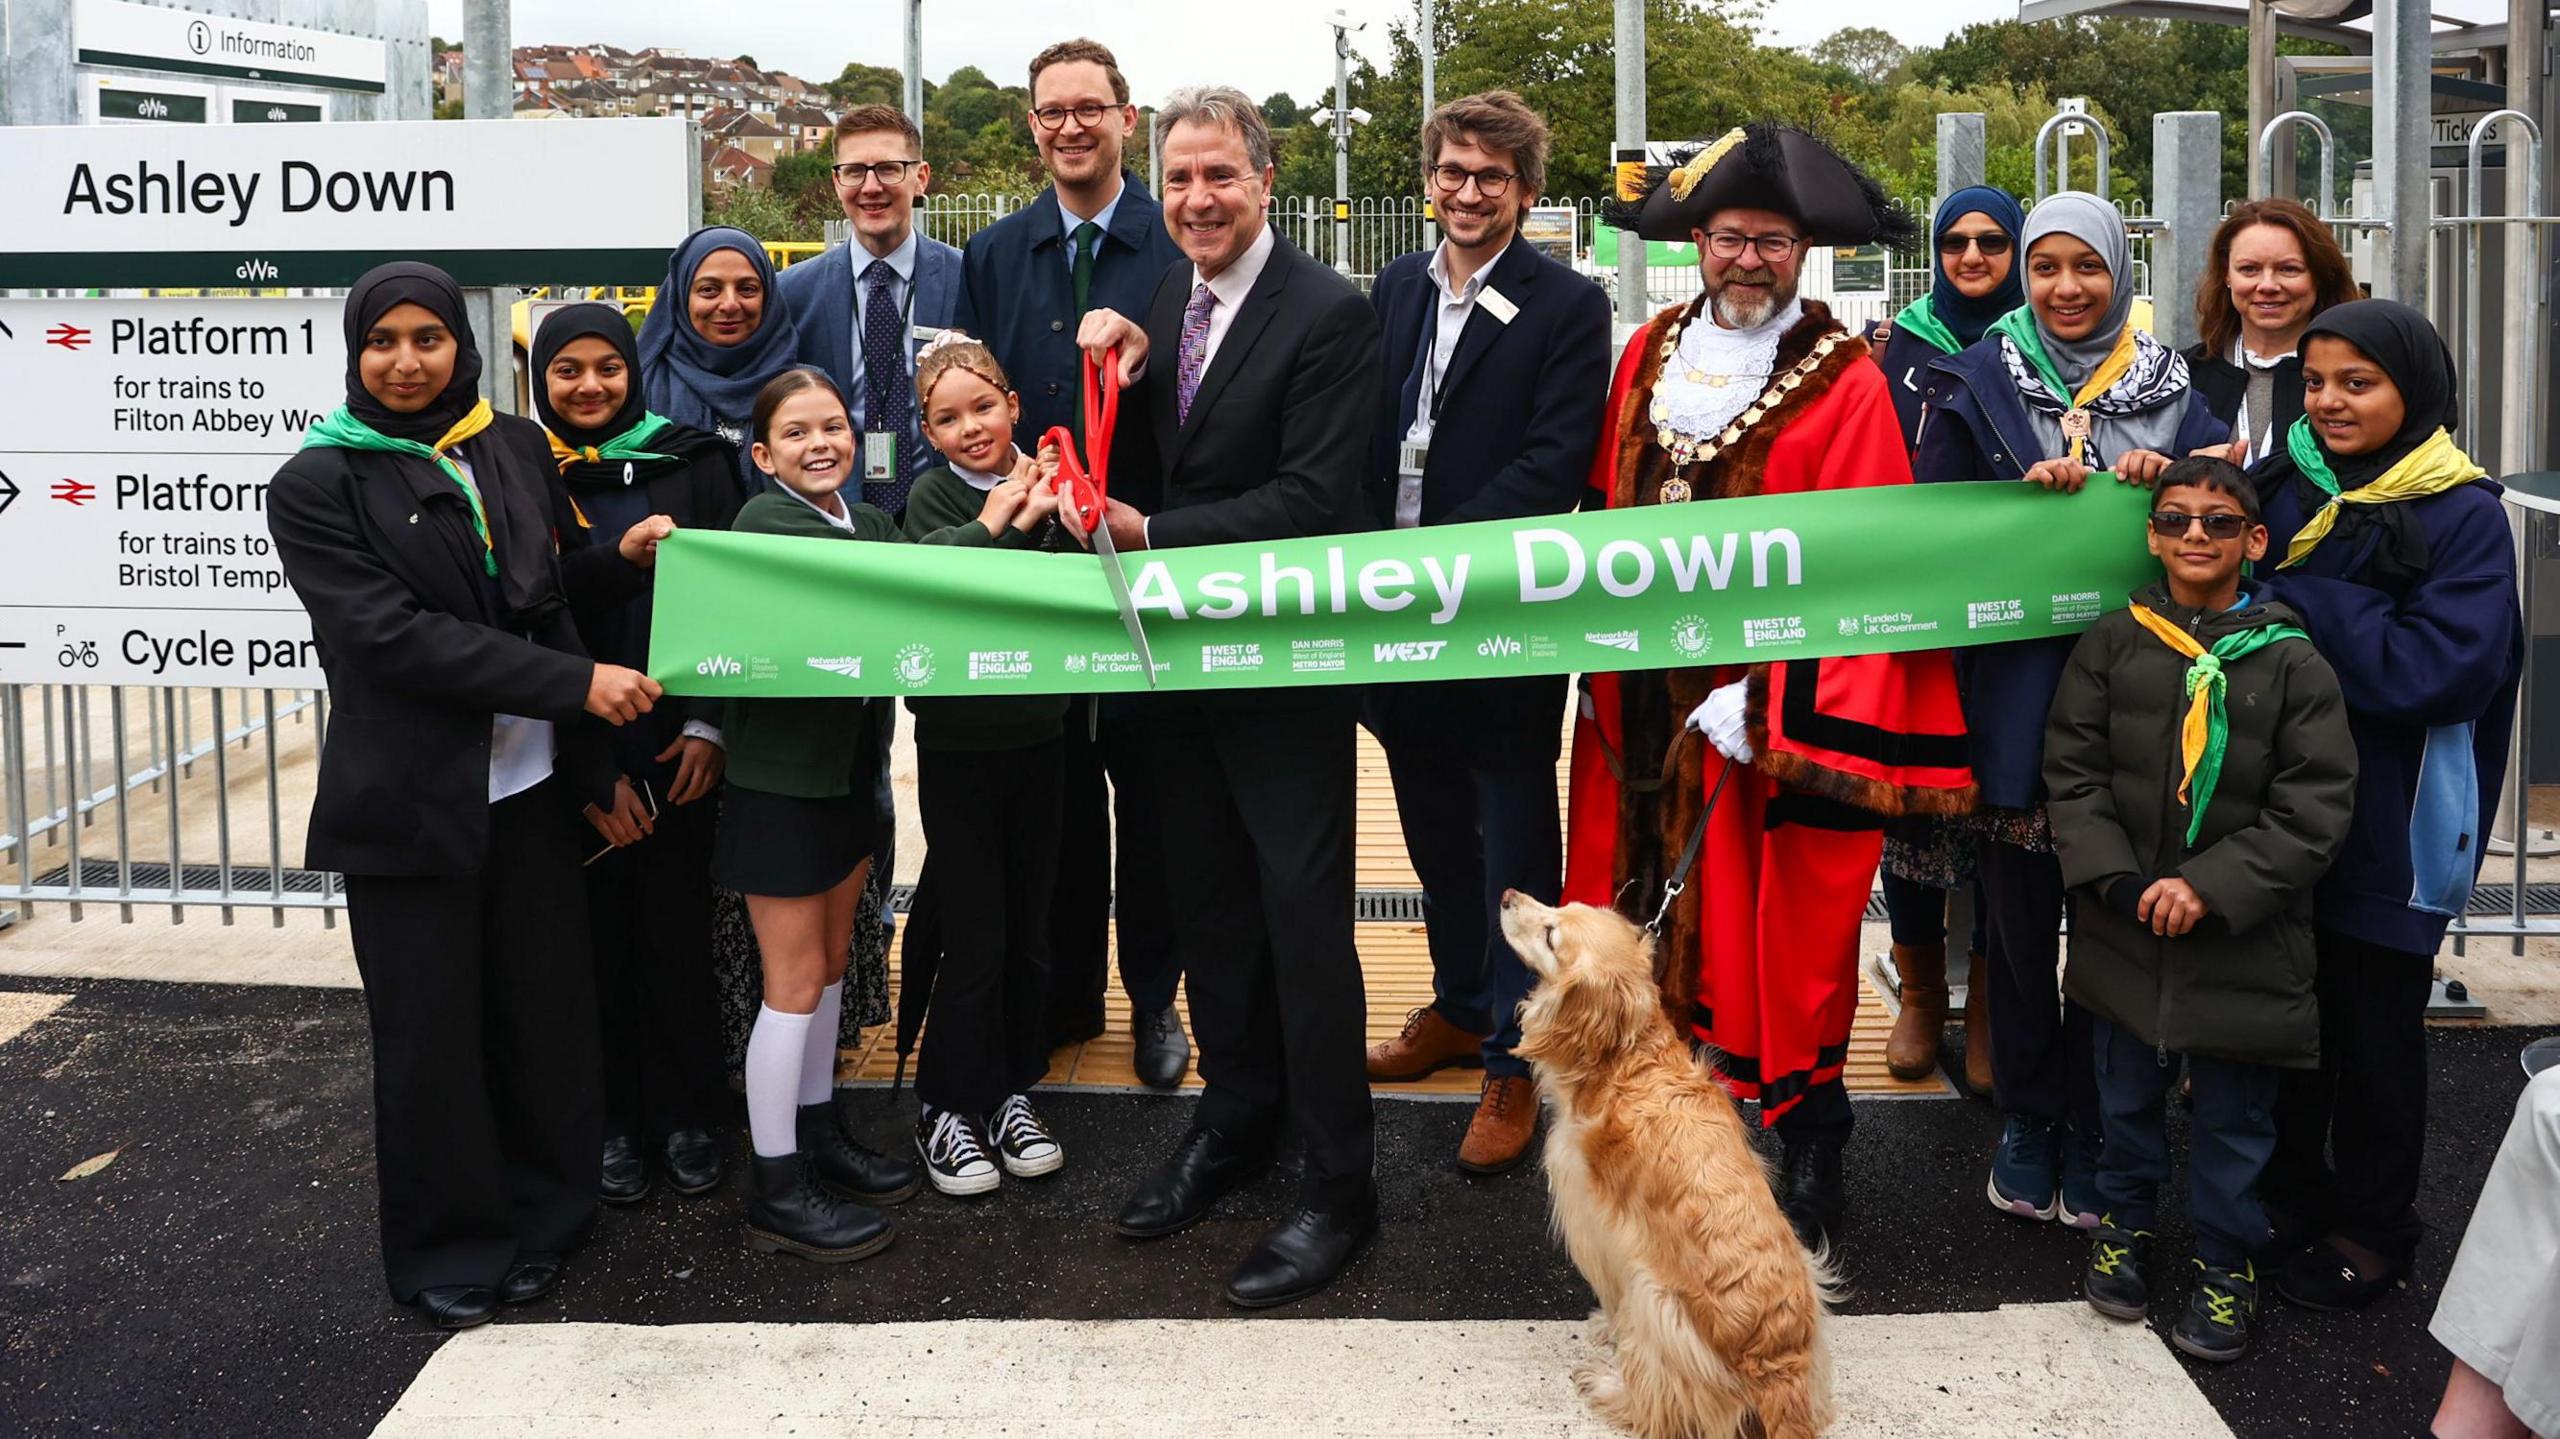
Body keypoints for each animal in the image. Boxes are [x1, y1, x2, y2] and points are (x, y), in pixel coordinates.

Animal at [1495, 891, 1843, 1423]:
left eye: (1552, 935)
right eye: (1562, 905)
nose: (1508, 896)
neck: (1628, 1060)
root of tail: (1776, 1369)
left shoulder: (1596, 1223)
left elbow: (1612, 1296)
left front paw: (1606, 1329)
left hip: (1655, 1299)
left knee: (1657, 1404)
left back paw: (1605, 1383)